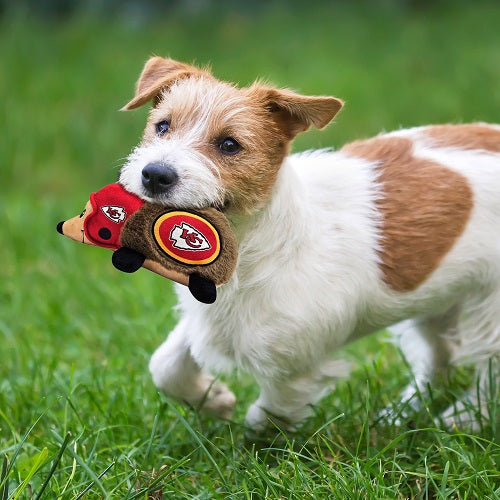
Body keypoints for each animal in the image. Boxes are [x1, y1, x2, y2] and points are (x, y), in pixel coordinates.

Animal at [118, 56, 500, 432]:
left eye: (229, 145)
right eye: (162, 126)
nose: (154, 174)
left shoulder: (296, 366)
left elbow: (267, 416)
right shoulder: (207, 319)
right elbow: (165, 365)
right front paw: (213, 400)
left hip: (489, 310)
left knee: (488, 372)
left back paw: (464, 419)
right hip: (436, 300)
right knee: (441, 357)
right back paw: (401, 415)